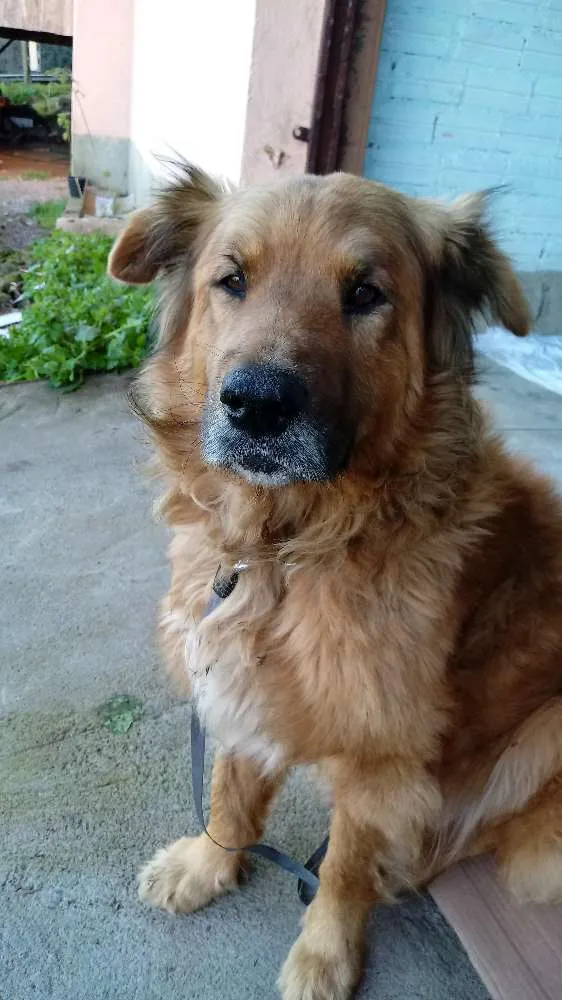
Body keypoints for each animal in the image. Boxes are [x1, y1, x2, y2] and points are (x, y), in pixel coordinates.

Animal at [109, 164, 562, 1000]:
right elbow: (230, 792)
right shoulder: (236, 676)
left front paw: (325, 954)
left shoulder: (380, 758)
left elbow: (348, 865)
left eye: (364, 293)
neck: (283, 551)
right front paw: (209, 863)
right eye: (233, 280)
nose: (256, 405)